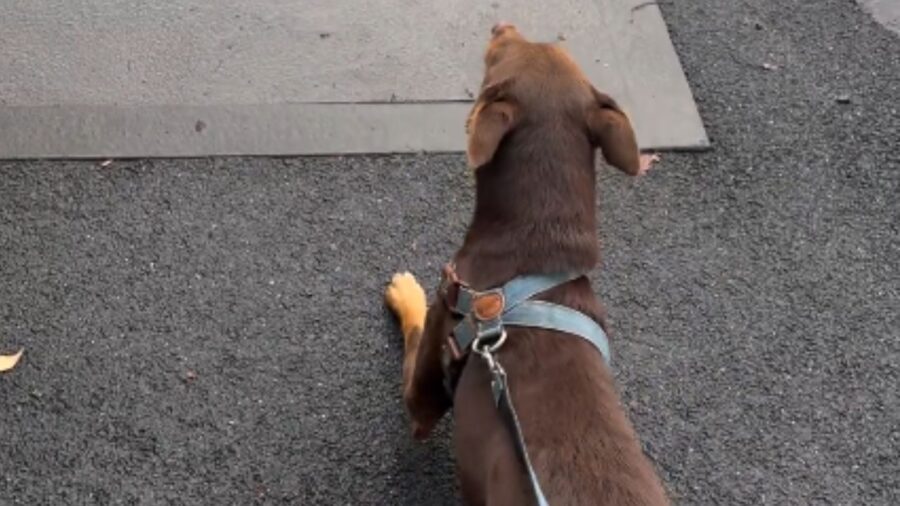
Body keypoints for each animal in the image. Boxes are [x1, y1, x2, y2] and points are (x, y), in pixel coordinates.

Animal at [384, 23, 672, 506]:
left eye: (499, 54)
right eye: (547, 44)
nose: (502, 25)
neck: (532, 258)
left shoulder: (425, 389)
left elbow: (416, 326)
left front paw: (404, 292)